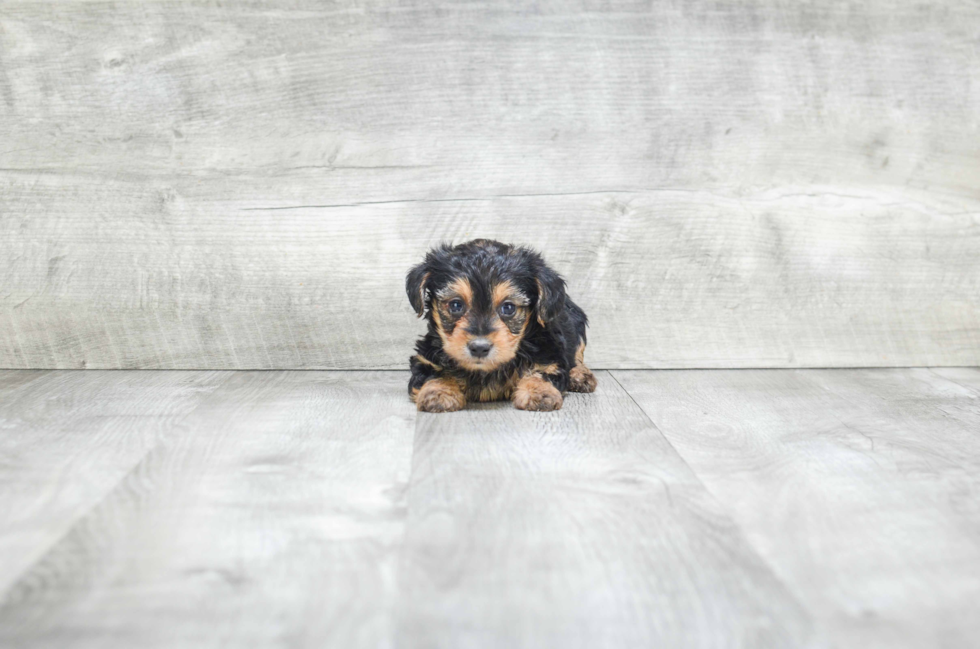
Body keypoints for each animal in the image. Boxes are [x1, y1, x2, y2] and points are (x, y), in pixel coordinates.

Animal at [406, 238, 596, 410]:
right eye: (455, 305)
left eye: (508, 307)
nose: (479, 347)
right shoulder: (426, 358)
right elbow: (432, 374)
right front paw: (438, 393)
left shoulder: (549, 354)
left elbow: (543, 372)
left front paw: (539, 392)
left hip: (577, 324)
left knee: (578, 355)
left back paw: (580, 376)